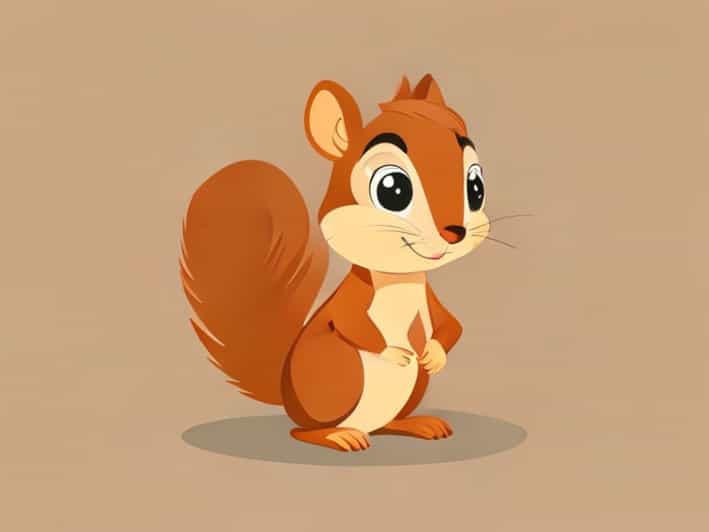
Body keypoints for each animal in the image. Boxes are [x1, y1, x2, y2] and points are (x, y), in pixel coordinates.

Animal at [179, 74, 490, 452]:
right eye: (393, 189)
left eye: (476, 186)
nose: (454, 232)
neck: (400, 279)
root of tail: (289, 400)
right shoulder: (351, 302)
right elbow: (351, 326)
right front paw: (393, 352)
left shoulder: (431, 301)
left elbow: (453, 325)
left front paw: (433, 354)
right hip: (338, 375)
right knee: (303, 432)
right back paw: (340, 435)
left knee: (385, 424)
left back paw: (417, 424)